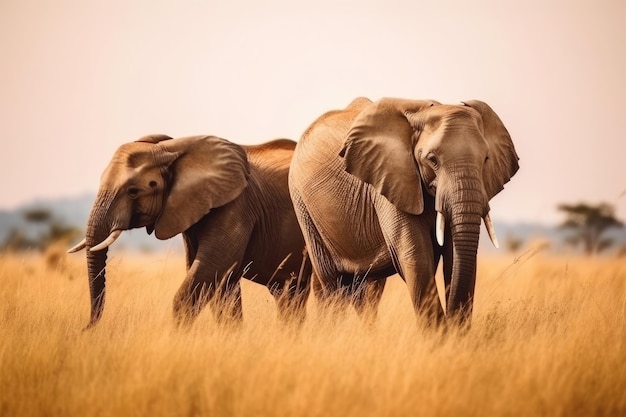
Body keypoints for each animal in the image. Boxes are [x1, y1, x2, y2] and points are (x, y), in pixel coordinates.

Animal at [68, 135, 312, 326]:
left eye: (133, 191)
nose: (87, 327)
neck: (171, 148)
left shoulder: (237, 206)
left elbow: (210, 270)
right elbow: (222, 286)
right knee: (291, 295)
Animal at [288, 97, 516, 324]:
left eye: (486, 159)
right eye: (432, 160)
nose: (453, 321)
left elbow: (454, 255)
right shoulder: (388, 179)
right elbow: (416, 257)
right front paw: (440, 333)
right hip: (303, 204)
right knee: (333, 284)